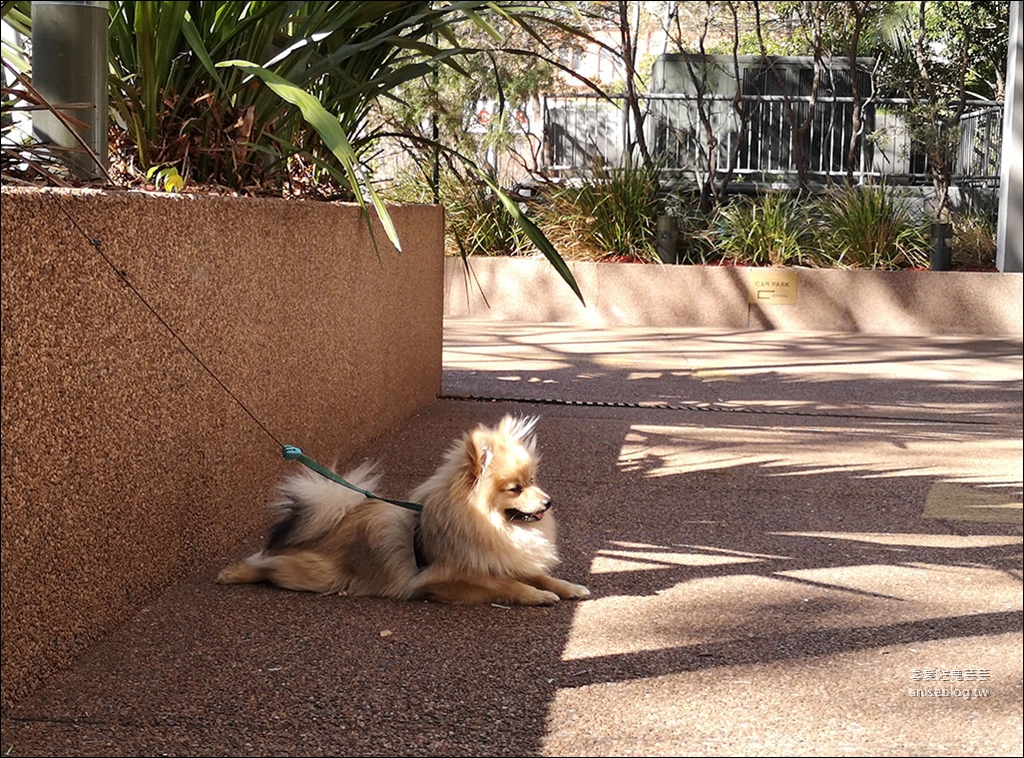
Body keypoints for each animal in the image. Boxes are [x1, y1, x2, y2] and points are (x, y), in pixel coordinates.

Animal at [220, 413, 593, 602]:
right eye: (516, 489)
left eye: (533, 480)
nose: (548, 501)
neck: (494, 527)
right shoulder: (447, 580)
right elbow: (508, 587)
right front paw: (536, 596)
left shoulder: (502, 560)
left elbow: (541, 576)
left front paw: (568, 588)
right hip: (316, 574)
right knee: (268, 566)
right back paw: (234, 573)